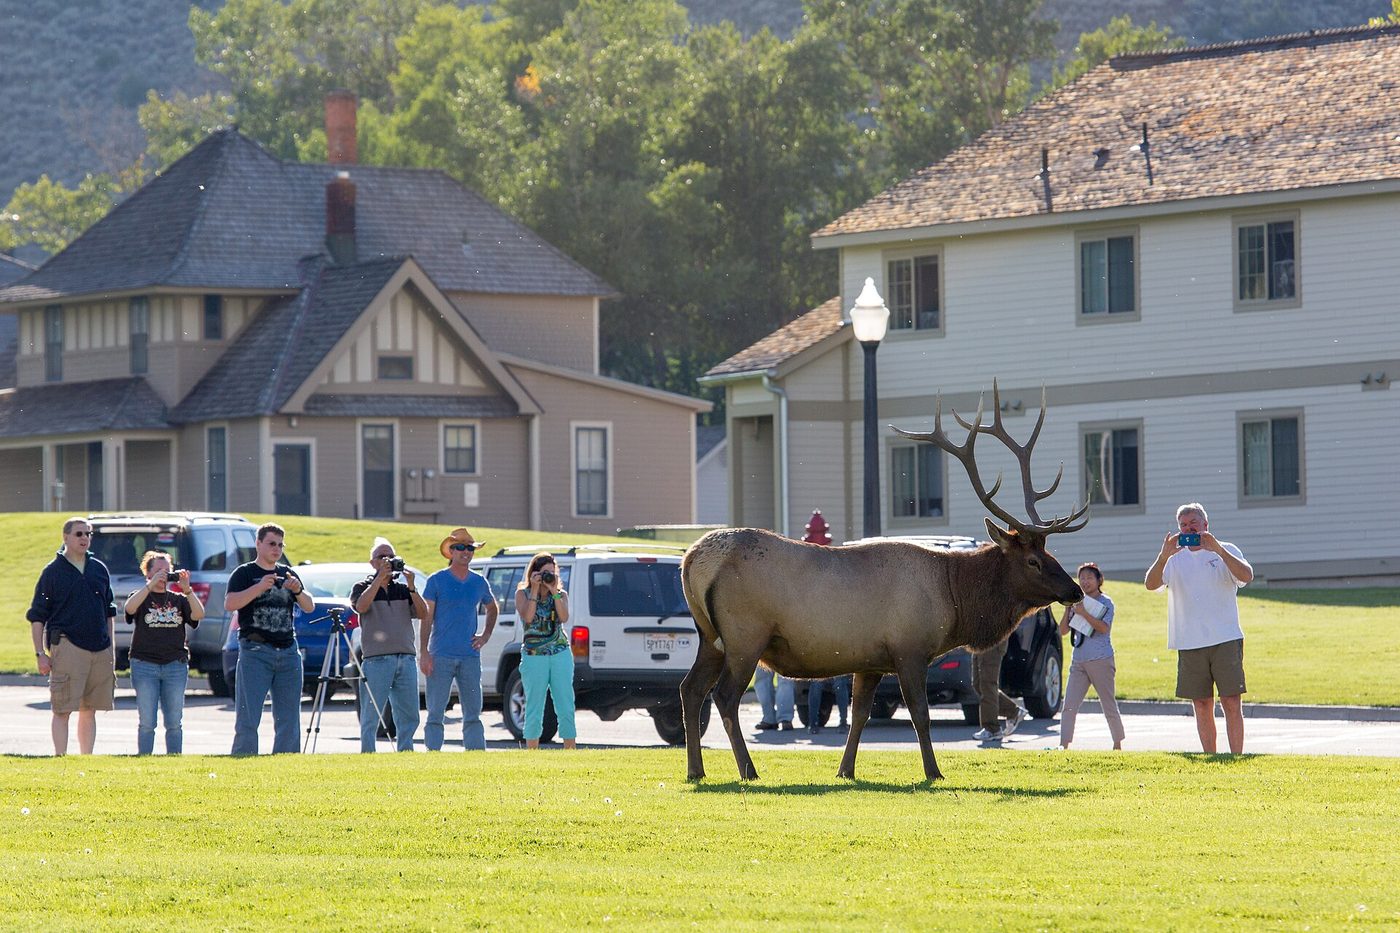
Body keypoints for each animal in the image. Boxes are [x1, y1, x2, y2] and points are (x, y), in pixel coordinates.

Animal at [680, 381, 1089, 782]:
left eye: (1050, 553)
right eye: (1034, 561)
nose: (1075, 590)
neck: (954, 598)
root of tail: (692, 560)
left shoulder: (870, 661)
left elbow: (859, 714)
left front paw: (845, 770)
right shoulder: (910, 649)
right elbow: (920, 715)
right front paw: (934, 772)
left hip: (709, 636)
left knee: (690, 688)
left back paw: (696, 770)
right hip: (745, 635)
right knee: (724, 696)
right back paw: (748, 770)